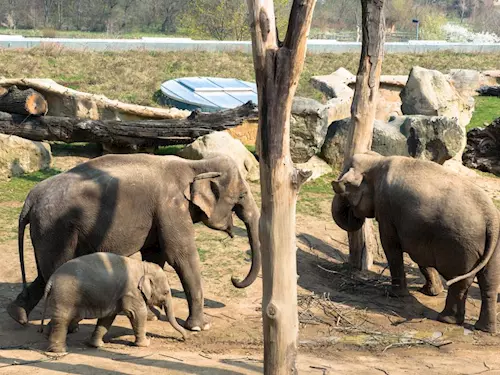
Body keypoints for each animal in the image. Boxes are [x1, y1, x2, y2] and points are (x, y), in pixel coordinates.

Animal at [7, 154, 262, 334]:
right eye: (241, 196)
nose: (234, 278)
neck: (195, 164)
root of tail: (30, 199)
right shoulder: (171, 206)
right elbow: (180, 255)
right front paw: (201, 326)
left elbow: (155, 255)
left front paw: (151, 316)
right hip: (57, 227)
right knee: (56, 268)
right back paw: (69, 326)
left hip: (49, 230)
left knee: (46, 272)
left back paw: (17, 316)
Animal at [40, 253, 187, 356]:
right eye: (166, 292)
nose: (184, 338)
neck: (142, 266)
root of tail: (51, 279)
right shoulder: (131, 292)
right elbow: (138, 314)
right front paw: (145, 344)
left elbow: (107, 318)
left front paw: (97, 345)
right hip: (66, 296)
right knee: (63, 319)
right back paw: (59, 351)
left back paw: (48, 337)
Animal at [332, 151, 500, 334]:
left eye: (343, 190)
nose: (354, 213)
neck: (378, 160)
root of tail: (490, 217)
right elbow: (419, 255)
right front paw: (431, 291)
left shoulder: (386, 209)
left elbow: (390, 246)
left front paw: (395, 294)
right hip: (492, 245)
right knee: (489, 283)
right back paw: (485, 329)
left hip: (461, 244)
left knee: (460, 281)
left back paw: (446, 319)